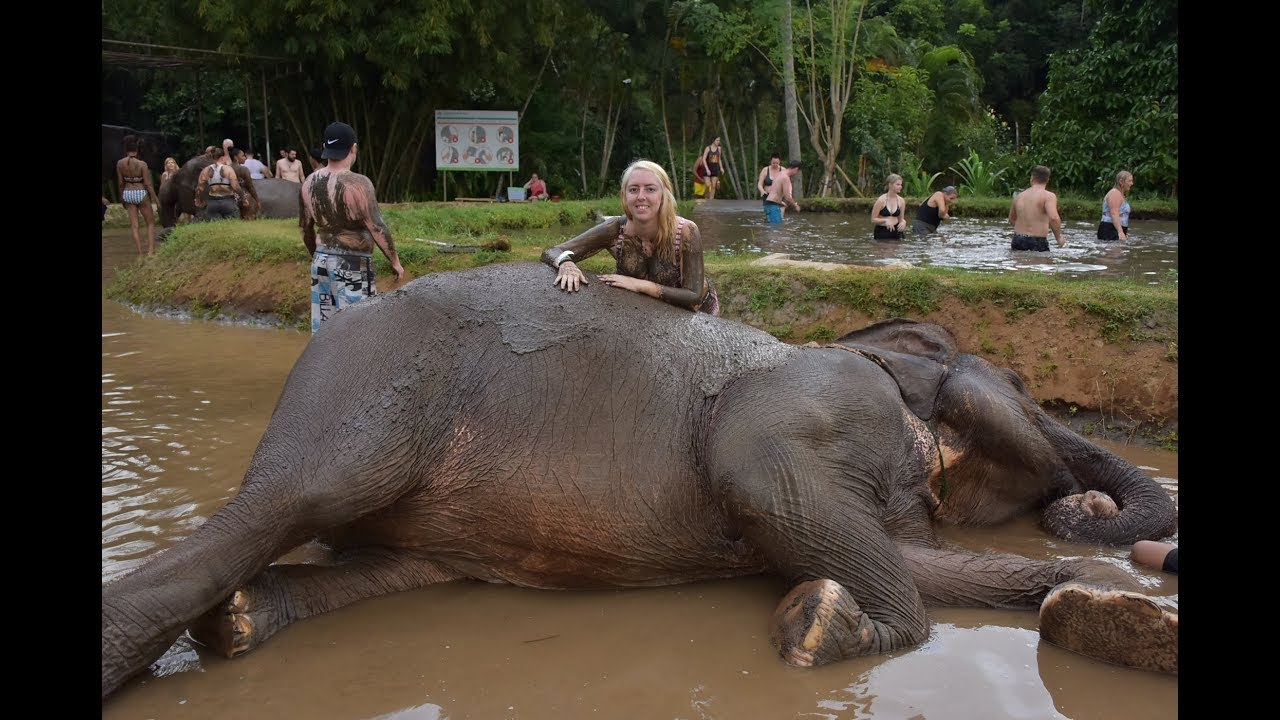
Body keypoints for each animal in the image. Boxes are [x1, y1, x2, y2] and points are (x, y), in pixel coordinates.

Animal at [102, 260, 1177, 696]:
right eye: (1025, 386)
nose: (1086, 503)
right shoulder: (821, 395)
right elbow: (759, 472)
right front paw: (824, 628)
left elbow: (915, 558)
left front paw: (1091, 595)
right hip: (370, 396)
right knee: (290, 499)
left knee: (398, 568)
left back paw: (242, 623)